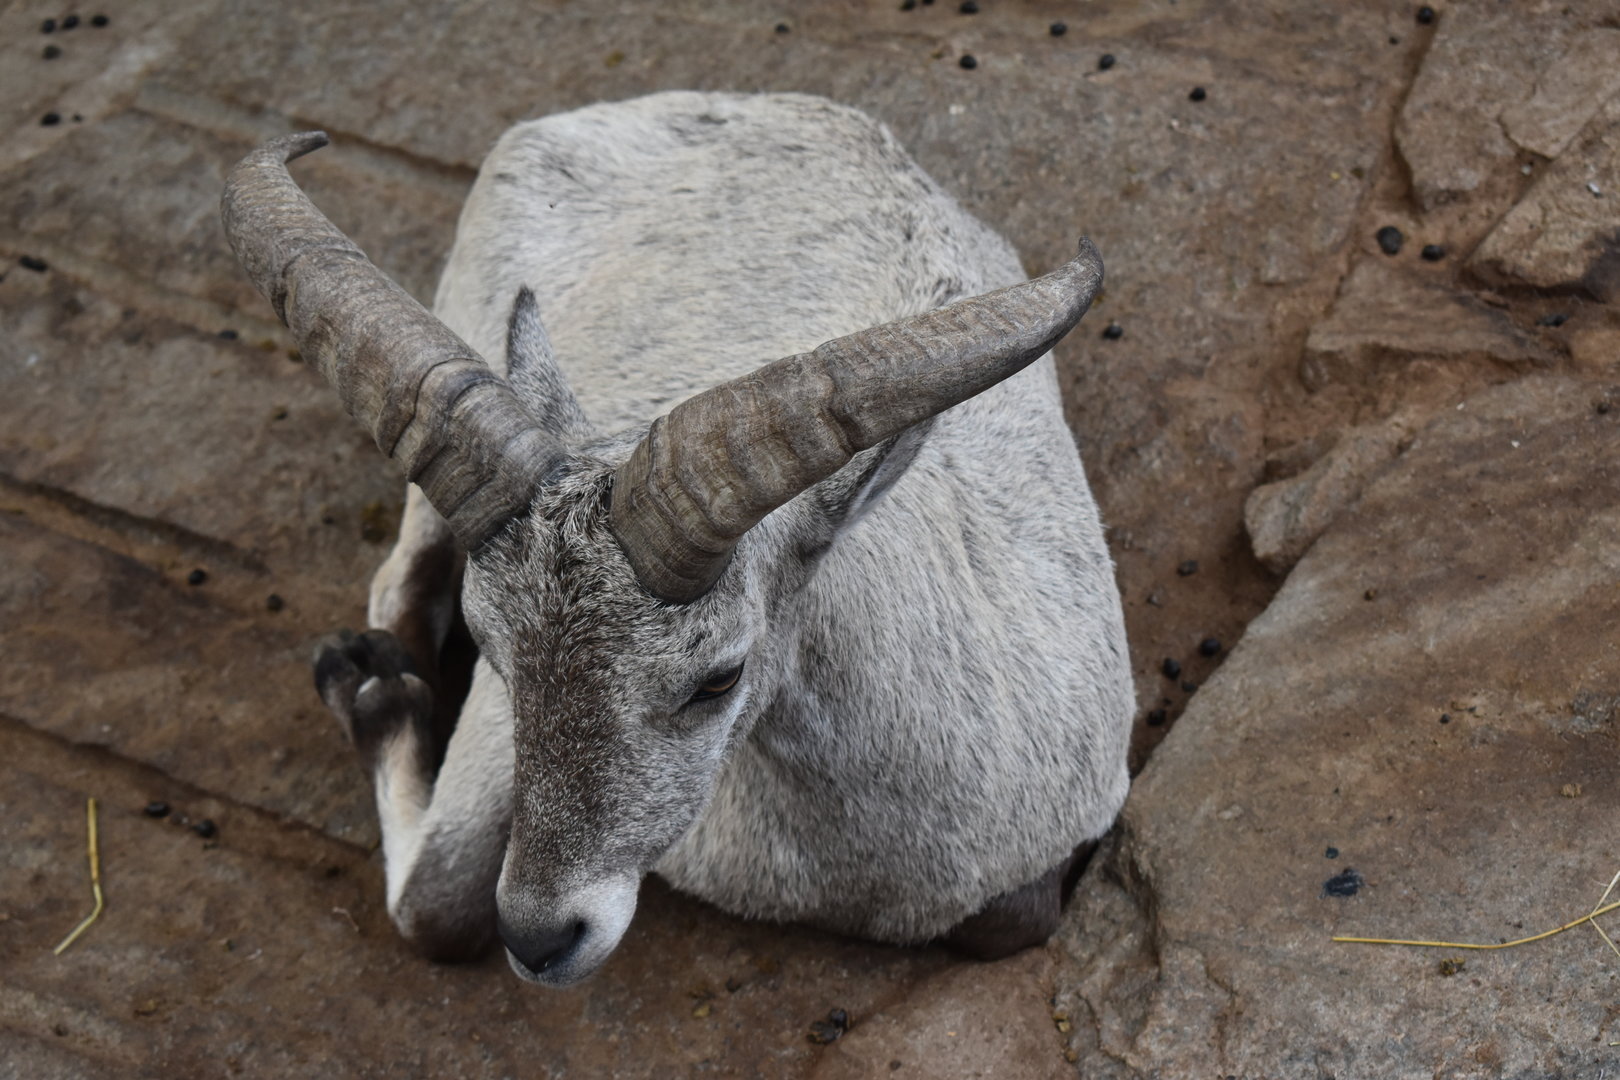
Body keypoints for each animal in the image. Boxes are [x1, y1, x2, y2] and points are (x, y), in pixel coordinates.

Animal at [221, 91, 1132, 987]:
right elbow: (437, 907)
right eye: (493, 652)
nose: (540, 937)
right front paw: (375, 692)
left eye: (717, 677)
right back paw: (366, 674)